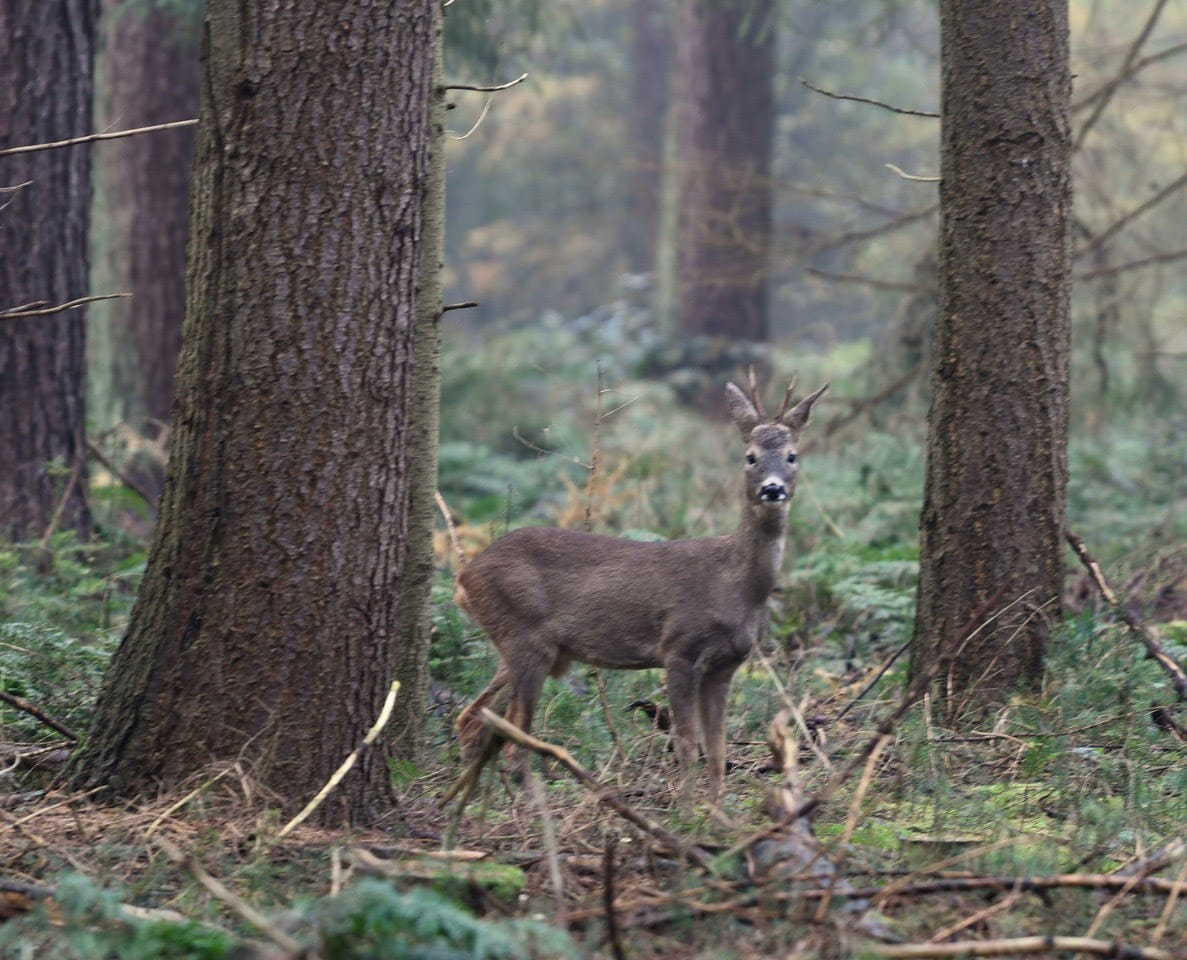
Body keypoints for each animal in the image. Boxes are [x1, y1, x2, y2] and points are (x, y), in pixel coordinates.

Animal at [453, 377, 826, 797]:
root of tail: (464, 577)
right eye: (750, 457)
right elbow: (686, 742)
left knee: (471, 718)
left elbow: (717, 749)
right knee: (513, 742)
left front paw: (716, 811)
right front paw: (686, 809)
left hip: (524, 647)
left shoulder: (726, 664)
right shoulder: (678, 648)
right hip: (525, 640)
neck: (737, 584)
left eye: (792, 456)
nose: (772, 489)